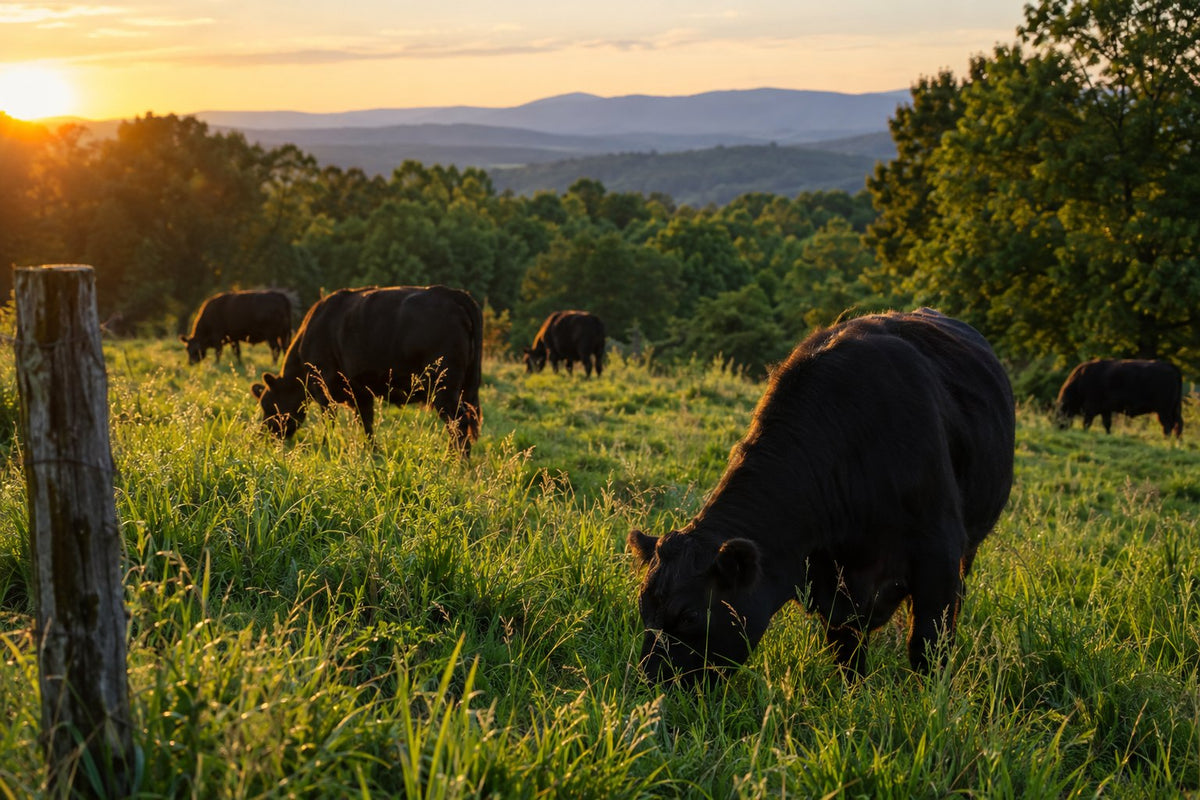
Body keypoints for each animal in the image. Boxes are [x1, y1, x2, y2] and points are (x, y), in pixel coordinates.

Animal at [250, 285, 483, 454]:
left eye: (268, 406)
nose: (263, 437)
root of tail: (451, 293)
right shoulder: (361, 392)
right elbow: (366, 422)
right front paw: (372, 450)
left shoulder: (323, 388)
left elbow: (330, 421)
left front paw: (327, 446)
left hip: (443, 388)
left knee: (459, 423)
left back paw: (455, 460)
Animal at [627, 308, 1015, 685]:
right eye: (645, 611)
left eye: (689, 615)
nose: (650, 682)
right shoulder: (831, 584)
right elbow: (846, 654)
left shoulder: (939, 555)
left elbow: (927, 645)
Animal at [1054, 359, 1183, 438]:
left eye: (1059, 413)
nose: (1058, 428)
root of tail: (1170, 366)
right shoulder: (1105, 409)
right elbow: (1107, 423)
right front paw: (1108, 435)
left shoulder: (1091, 408)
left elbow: (1087, 423)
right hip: (1173, 409)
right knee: (1178, 424)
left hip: (1164, 411)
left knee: (1168, 426)